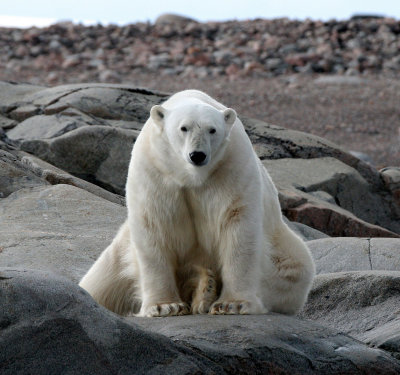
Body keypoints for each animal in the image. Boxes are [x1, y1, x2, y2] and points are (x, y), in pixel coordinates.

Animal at [79, 89, 316, 316]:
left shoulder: (231, 167)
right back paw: (202, 285)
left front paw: (232, 304)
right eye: (183, 128)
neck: (190, 175)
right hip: (116, 257)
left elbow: (237, 225)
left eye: (212, 130)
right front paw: (165, 306)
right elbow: (154, 226)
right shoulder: (154, 170)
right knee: (99, 284)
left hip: (283, 248)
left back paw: (205, 288)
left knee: (295, 267)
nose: (197, 155)